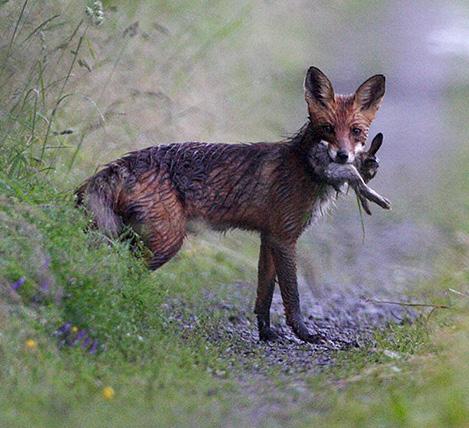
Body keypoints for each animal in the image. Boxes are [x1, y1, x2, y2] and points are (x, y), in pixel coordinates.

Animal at [77, 67, 390, 344]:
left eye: (356, 131)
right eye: (327, 128)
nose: (342, 157)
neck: (304, 166)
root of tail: (120, 164)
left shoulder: (269, 237)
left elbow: (264, 294)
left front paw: (267, 334)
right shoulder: (284, 238)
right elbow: (292, 295)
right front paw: (306, 335)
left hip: (138, 238)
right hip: (166, 243)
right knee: (118, 269)